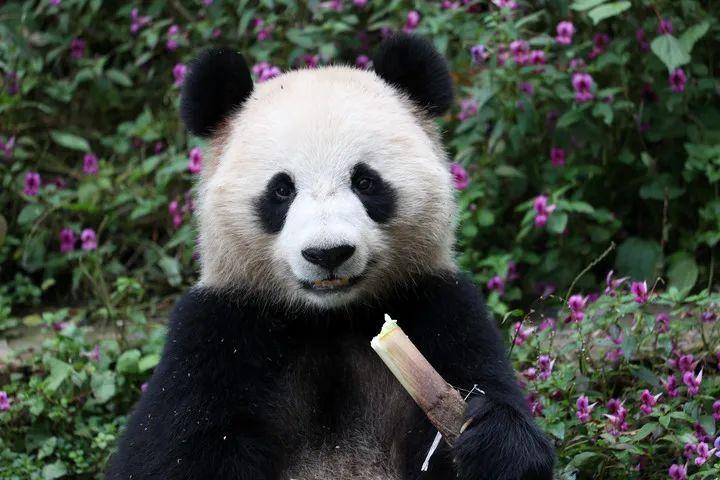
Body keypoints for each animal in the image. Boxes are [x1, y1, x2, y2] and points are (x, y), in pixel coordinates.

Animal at [107, 34, 556, 480]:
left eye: (365, 182)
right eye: (281, 190)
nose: (328, 253)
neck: (330, 319)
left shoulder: (439, 309)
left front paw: (491, 441)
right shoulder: (219, 335)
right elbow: (167, 454)